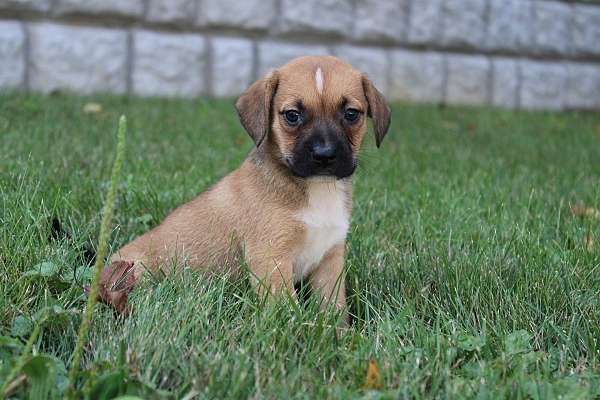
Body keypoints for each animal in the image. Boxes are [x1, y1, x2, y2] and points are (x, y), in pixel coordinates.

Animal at [99, 55, 390, 322]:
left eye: (351, 114)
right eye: (292, 116)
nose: (324, 155)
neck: (315, 189)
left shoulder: (330, 260)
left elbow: (334, 309)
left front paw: (338, 336)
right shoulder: (270, 259)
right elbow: (285, 311)